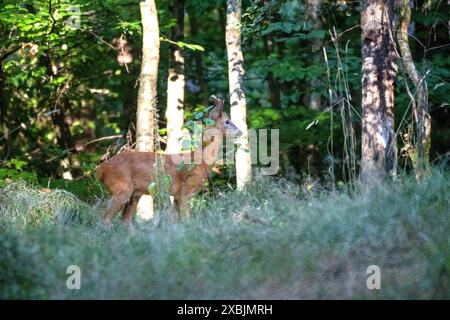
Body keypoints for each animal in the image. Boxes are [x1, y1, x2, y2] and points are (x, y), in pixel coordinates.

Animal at [96, 96, 241, 226]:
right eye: (227, 121)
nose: (241, 131)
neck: (199, 161)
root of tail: (101, 169)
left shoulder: (176, 195)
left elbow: (174, 220)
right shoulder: (185, 191)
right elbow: (186, 219)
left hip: (134, 193)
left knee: (125, 220)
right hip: (121, 187)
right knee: (106, 219)